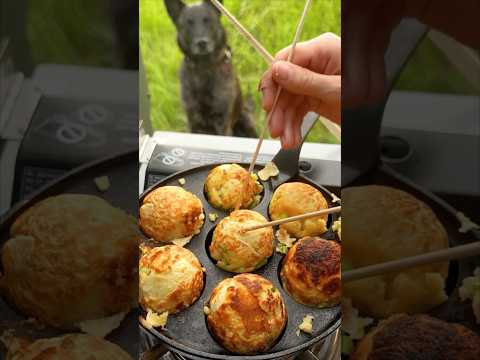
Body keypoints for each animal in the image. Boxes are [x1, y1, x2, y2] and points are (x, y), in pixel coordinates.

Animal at [164, 0, 255, 136]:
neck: (204, 67)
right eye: (188, 23)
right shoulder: (193, 123)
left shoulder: (223, 124)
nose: (202, 43)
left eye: (208, 20)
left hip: (246, 120)